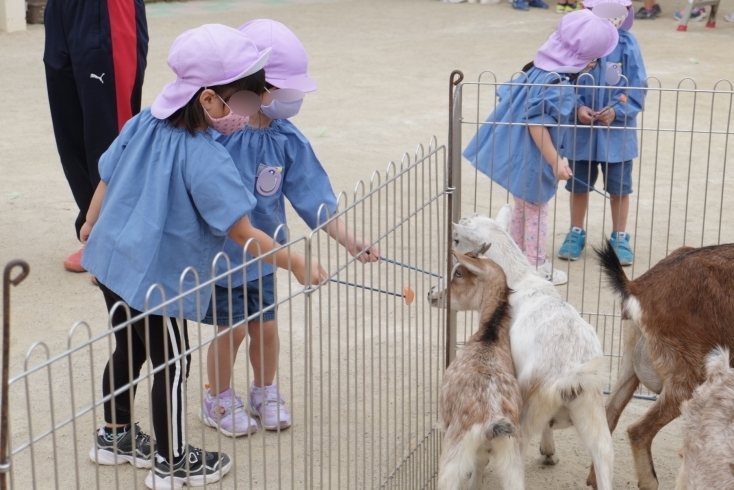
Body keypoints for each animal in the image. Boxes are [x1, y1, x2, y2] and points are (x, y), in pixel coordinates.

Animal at [428, 247, 528, 490]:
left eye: (458, 273)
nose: (430, 293)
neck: (488, 338)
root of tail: (492, 419)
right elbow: (480, 464)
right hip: (512, 458)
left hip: (454, 451)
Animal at [454, 203, 616, 490]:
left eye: (456, 240)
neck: (520, 279)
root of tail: (571, 376)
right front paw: (549, 452)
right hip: (593, 410)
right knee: (604, 454)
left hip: (527, 411)